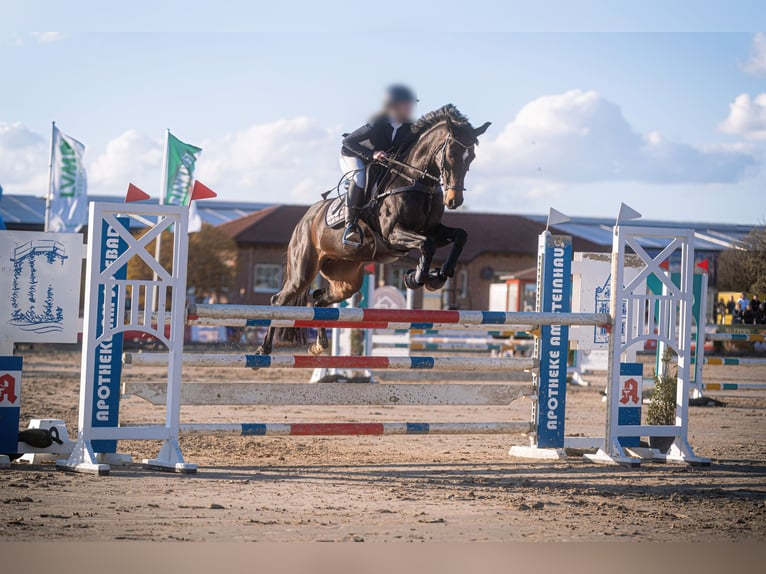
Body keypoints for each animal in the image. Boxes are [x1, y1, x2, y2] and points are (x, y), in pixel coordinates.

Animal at [258, 103, 492, 356]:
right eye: (450, 155)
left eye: (471, 158)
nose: (454, 201)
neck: (416, 181)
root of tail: (305, 219)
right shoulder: (393, 234)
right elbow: (426, 245)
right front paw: (417, 278)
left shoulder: (433, 229)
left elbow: (459, 236)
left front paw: (438, 276)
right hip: (303, 269)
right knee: (279, 300)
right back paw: (264, 348)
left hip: (346, 278)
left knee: (320, 299)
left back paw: (319, 345)